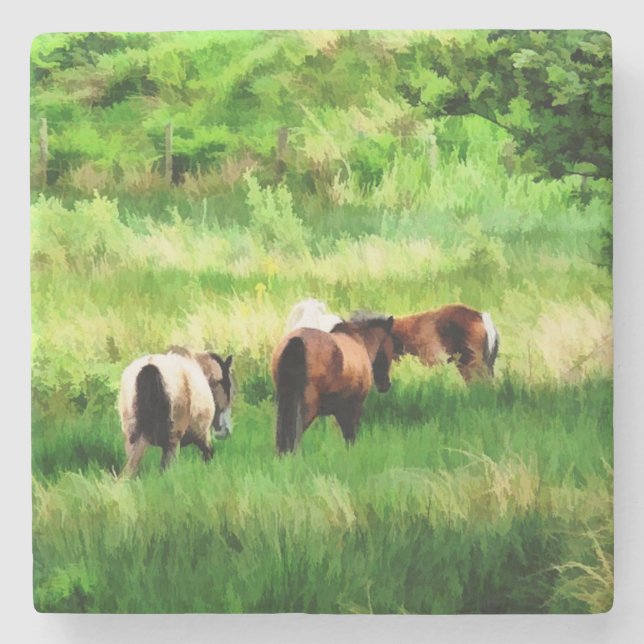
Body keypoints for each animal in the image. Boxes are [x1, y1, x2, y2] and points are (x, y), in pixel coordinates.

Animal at [271, 314, 400, 454]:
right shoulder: (353, 407)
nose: (386, 384)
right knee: (295, 436)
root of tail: (297, 340)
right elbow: (350, 437)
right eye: (391, 347)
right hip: (307, 408)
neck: (359, 342)